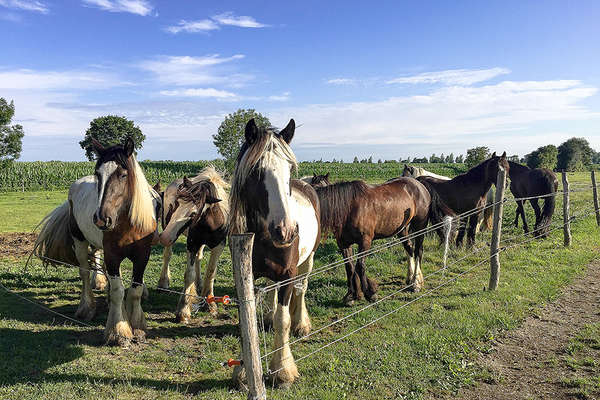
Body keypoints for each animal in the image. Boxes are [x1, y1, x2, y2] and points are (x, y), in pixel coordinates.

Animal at [34, 138, 161, 344]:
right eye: (98, 175)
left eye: (123, 175)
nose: (102, 219)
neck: (127, 223)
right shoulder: (113, 255)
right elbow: (118, 290)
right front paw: (118, 331)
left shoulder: (142, 255)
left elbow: (135, 290)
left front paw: (137, 326)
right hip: (80, 242)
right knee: (85, 272)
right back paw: (86, 308)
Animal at [157, 166, 230, 322]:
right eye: (176, 203)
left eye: (193, 213)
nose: (165, 237)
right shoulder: (192, 244)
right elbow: (188, 275)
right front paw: (183, 311)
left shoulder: (219, 246)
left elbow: (210, 273)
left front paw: (210, 304)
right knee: (167, 255)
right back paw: (163, 282)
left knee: (199, 257)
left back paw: (199, 284)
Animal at [230, 118, 322, 384]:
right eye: (256, 171)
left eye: (289, 170)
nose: (287, 230)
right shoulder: (245, 276)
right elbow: (247, 316)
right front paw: (243, 371)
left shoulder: (288, 275)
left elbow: (284, 320)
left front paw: (283, 370)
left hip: (308, 261)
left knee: (302, 289)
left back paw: (301, 323)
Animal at [316, 177, 452, 304]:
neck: (350, 208)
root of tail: (420, 184)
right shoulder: (343, 244)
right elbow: (349, 267)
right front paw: (351, 295)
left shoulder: (365, 241)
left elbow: (360, 265)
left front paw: (369, 293)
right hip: (402, 229)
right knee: (409, 248)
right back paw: (410, 278)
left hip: (420, 227)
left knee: (418, 251)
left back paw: (415, 284)